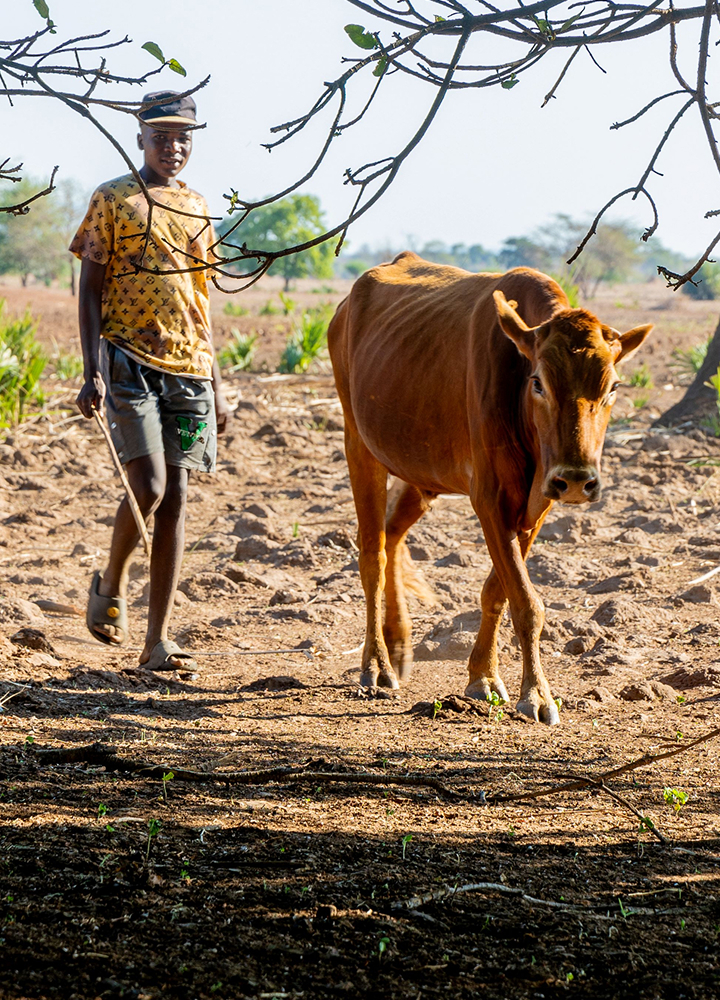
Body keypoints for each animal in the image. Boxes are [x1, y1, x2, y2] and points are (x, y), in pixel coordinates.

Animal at [328, 252, 652, 725]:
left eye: (612, 387)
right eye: (538, 382)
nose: (577, 479)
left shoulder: (536, 505)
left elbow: (498, 592)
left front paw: (482, 676)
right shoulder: (491, 499)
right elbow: (527, 603)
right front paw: (536, 694)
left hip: (420, 473)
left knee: (393, 534)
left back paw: (399, 643)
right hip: (360, 444)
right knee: (373, 552)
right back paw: (377, 664)